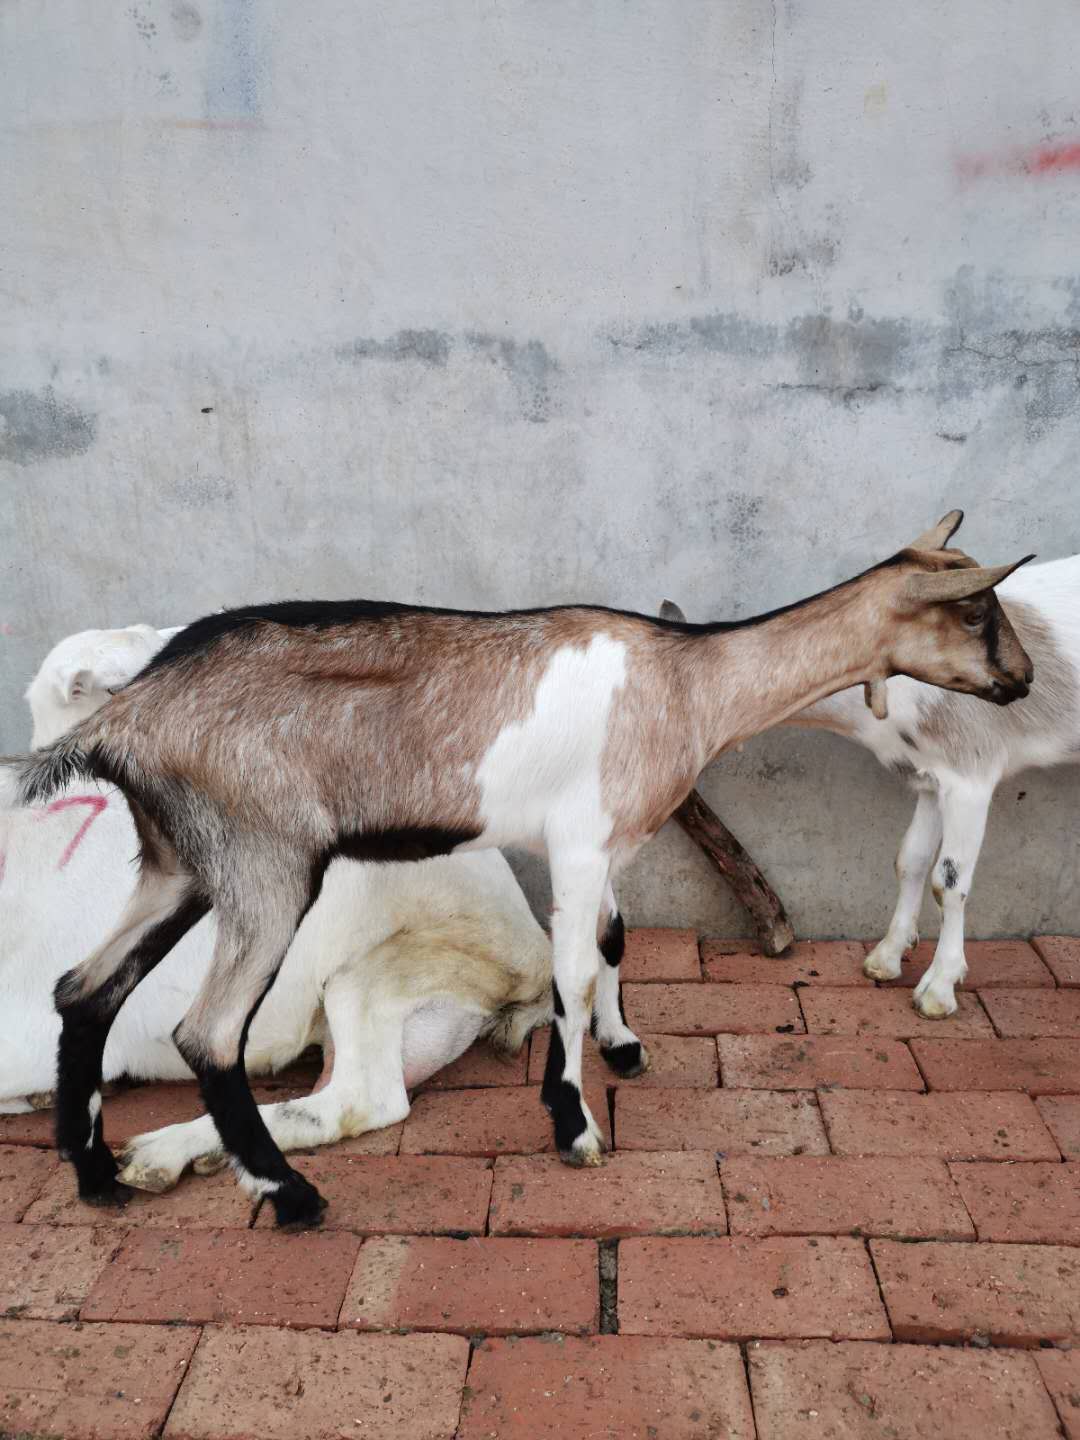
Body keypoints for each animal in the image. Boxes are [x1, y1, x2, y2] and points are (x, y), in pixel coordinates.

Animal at [794, 547, 1080, 1013]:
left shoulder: (970, 776)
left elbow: (949, 880)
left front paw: (939, 988)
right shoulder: (929, 776)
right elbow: (909, 860)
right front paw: (886, 958)